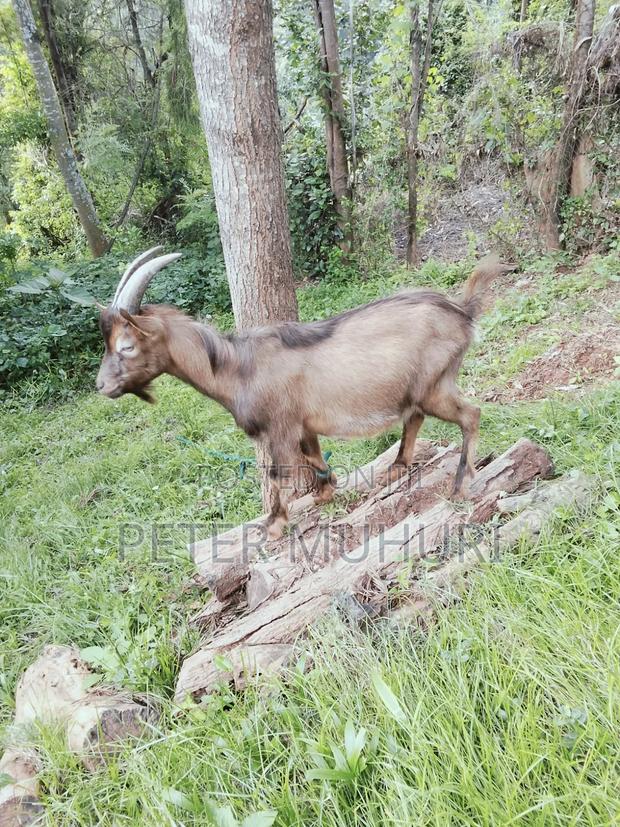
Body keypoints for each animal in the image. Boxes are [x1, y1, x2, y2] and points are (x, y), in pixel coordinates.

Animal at [96, 248, 509, 538]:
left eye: (126, 346)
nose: (101, 385)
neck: (234, 368)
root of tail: (462, 312)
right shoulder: (303, 424)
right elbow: (313, 458)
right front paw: (326, 491)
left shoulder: (279, 426)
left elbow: (277, 472)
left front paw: (274, 525)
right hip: (420, 387)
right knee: (416, 416)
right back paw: (397, 467)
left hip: (435, 383)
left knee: (470, 415)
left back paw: (459, 484)